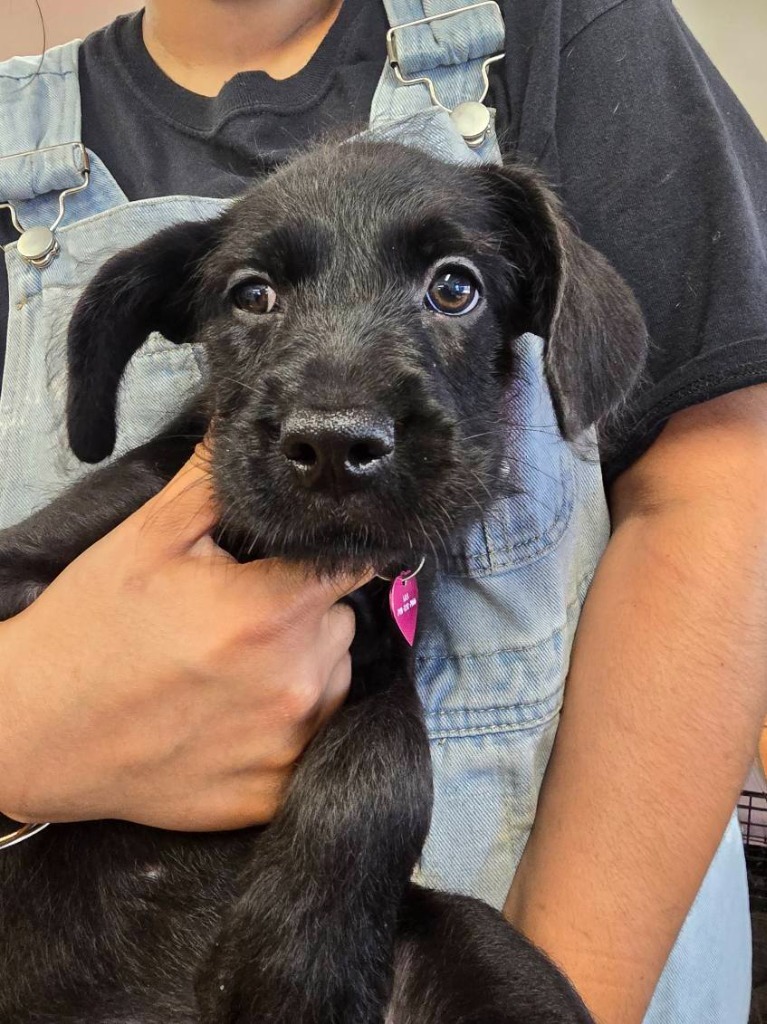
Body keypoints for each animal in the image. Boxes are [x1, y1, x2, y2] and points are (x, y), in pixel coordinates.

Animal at [0, 144, 647, 1024]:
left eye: (454, 288)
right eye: (252, 295)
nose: (336, 445)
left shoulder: (379, 655)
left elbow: (387, 764)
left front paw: (298, 961)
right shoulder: (40, 552)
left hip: (493, 958)